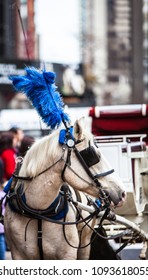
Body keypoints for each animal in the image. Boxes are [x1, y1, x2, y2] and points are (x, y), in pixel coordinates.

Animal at [3, 117, 126, 260]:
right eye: (95, 156)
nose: (122, 193)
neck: (39, 211)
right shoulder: (18, 254)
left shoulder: (68, 254)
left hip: (85, 243)